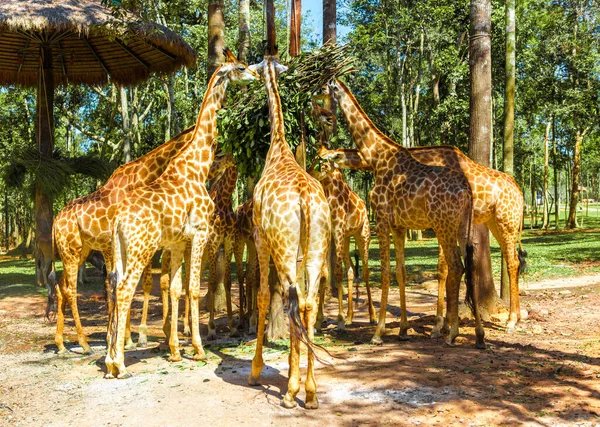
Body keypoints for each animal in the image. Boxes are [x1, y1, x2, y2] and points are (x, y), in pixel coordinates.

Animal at [104, 50, 258, 382]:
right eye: (241, 68)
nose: (255, 76)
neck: (197, 166)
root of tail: (119, 221)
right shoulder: (200, 232)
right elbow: (194, 287)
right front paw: (199, 348)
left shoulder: (176, 242)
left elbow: (175, 288)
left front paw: (175, 351)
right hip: (141, 249)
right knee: (124, 291)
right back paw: (120, 364)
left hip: (122, 251)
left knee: (115, 288)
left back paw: (110, 362)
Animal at [310, 160, 376, 328]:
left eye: (323, 164)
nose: (309, 172)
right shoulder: (329, 233)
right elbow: (324, 273)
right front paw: (319, 320)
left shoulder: (338, 230)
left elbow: (338, 272)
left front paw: (338, 317)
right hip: (346, 239)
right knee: (351, 269)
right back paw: (349, 317)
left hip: (362, 235)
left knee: (365, 271)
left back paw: (372, 317)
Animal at [318, 80, 482, 348]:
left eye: (323, 89)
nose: (323, 114)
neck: (377, 158)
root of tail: (467, 190)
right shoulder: (399, 225)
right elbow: (400, 272)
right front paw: (403, 329)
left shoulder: (382, 219)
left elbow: (385, 272)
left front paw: (378, 332)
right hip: (462, 226)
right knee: (469, 265)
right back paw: (478, 335)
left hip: (443, 226)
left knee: (455, 267)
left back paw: (451, 333)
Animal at [318, 145, 524, 330]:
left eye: (321, 161)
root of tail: (519, 190)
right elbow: (441, 270)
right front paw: (444, 323)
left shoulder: (440, 221)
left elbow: (442, 270)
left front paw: (440, 325)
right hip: (494, 222)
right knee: (513, 259)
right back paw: (516, 318)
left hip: (507, 222)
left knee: (513, 261)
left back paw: (512, 320)